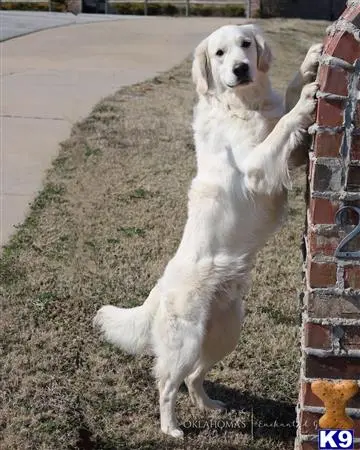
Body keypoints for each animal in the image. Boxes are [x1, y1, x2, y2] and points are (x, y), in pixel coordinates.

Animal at [94, 23, 322, 436]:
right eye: (219, 54)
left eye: (246, 45)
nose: (240, 68)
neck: (243, 104)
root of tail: (160, 287)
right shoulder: (257, 168)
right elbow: (283, 123)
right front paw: (305, 101)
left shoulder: (288, 156)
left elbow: (285, 103)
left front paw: (309, 65)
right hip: (185, 343)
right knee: (167, 383)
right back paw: (170, 427)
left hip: (226, 333)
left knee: (194, 376)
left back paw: (210, 406)